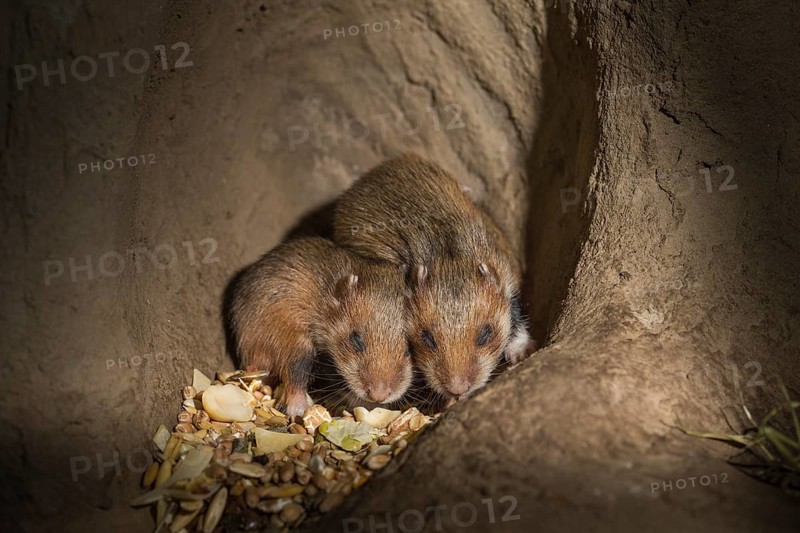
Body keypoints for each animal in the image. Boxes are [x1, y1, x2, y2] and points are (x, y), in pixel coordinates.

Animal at [229, 237, 413, 416]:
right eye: (355, 340)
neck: (326, 297)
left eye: (411, 348)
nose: (379, 396)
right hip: (296, 342)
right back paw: (298, 409)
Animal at [333, 154, 531, 399]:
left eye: (485, 334)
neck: (447, 255)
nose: (458, 391)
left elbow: (516, 314)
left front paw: (521, 352)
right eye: (427, 339)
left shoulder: (505, 275)